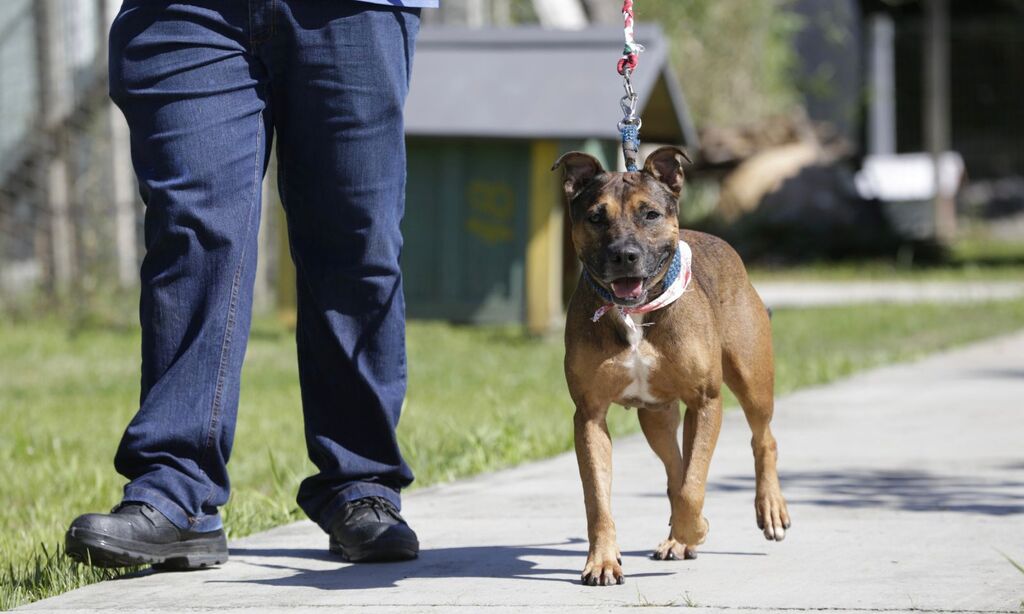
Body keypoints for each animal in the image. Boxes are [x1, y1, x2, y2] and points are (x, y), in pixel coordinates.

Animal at [557, 147, 786, 585]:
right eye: (596, 216)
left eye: (650, 214)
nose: (624, 255)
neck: (634, 312)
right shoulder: (589, 415)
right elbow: (598, 498)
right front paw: (603, 560)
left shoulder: (705, 401)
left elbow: (693, 488)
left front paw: (694, 529)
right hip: (655, 416)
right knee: (675, 468)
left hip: (751, 378)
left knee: (762, 439)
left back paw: (767, 509)